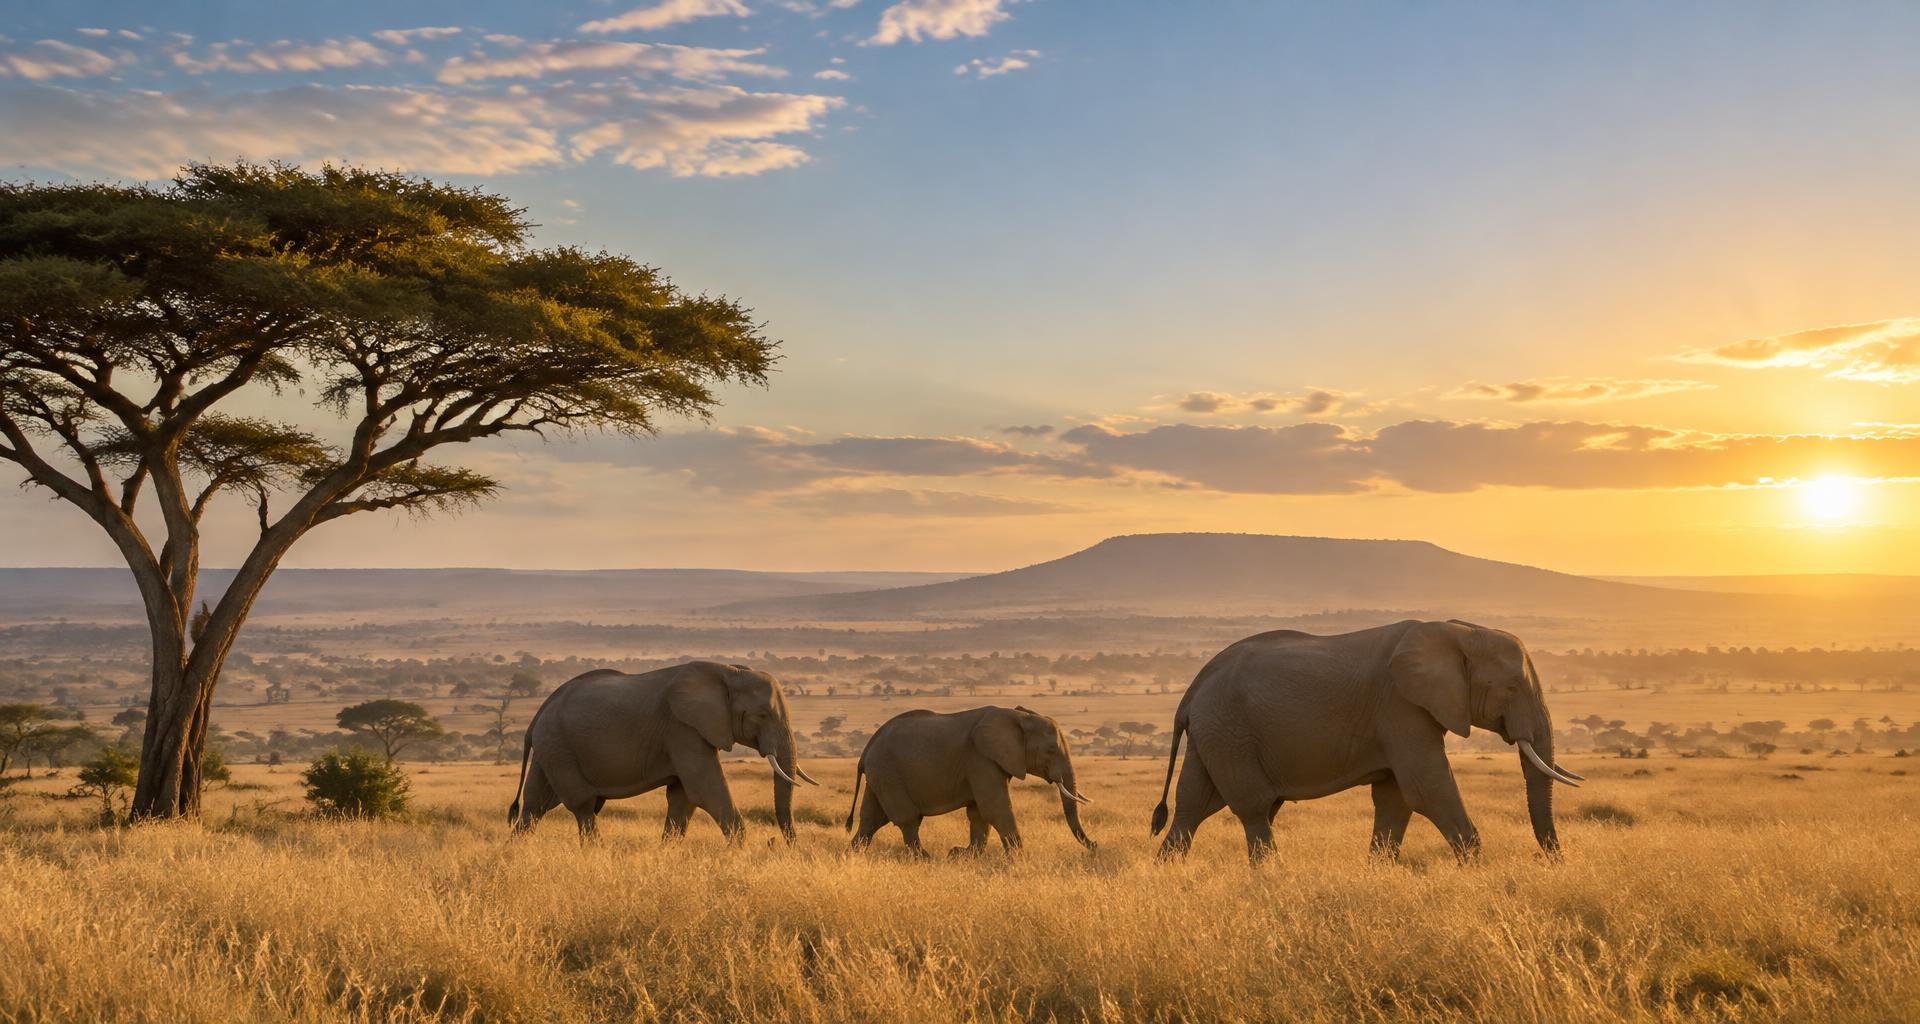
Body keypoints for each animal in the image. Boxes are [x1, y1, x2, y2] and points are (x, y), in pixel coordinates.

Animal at [508, 661, 821, 841]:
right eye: (763, 715)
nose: (784, 846)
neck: (731, 673)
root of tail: (541, 710)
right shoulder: (683, 728)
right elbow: (704, 790)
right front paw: (741, 853)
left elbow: (684, 799)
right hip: (558, 746)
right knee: (583, 806)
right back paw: (595, 853)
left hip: (551, 748)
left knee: (536, 805)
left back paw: (516, 854)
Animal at [846, 705, 1096, 856]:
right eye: (1051, 750)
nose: (1095, 846)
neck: (1018, 716)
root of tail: (866, 749)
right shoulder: (980, 759)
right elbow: (994, 808)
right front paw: (1018, 859)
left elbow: (979, 814)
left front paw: (962, 855)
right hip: (888, 773)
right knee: (907, 819)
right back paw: (923, 859)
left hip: (880, 775)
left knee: (871, 819)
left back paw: (852, 856)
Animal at [1150, 619, 1584, 863]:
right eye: (1511, 688)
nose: (1553, 862)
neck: (1461, 631)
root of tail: (1192, 689)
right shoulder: (1401, 706)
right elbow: (1426, 789)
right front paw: (1477, 868)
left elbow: (1396, 799)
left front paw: (1378, 872)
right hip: (1228, 731)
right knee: (1254, 808)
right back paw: (1273, 879)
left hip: (1213, 733)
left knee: (1193, 807)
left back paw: (1167, 877)